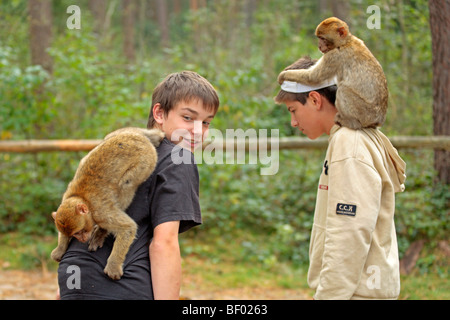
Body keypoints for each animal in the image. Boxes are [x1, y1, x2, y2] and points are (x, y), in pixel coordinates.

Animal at [51, 127, 163, 280]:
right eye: (75, 234)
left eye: (80, 232)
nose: (81, 239)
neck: (83, 199)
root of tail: (137, 137)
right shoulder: (65, 199)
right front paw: (61, 248)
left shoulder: (101, 212)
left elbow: (128, 228)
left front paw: (113, 266)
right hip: (126, 135)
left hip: (146, 159)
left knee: (126, 184)